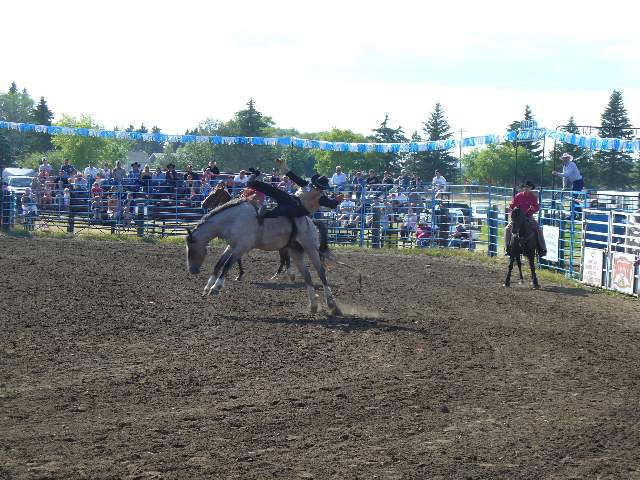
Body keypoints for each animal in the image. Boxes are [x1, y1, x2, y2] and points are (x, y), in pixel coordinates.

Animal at [185, 196, 340, 316]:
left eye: (191, 250)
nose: (192, 270)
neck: (234, 219)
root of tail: (311, 221)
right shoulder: (232, 246)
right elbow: (219, 263)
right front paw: (208, 286)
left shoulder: (241, 247)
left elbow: (227, 264)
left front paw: (216, 287)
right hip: (295, 251)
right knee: (307, 275)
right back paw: (313, 305)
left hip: (310, 248)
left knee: (321, 273)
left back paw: (332, 305)